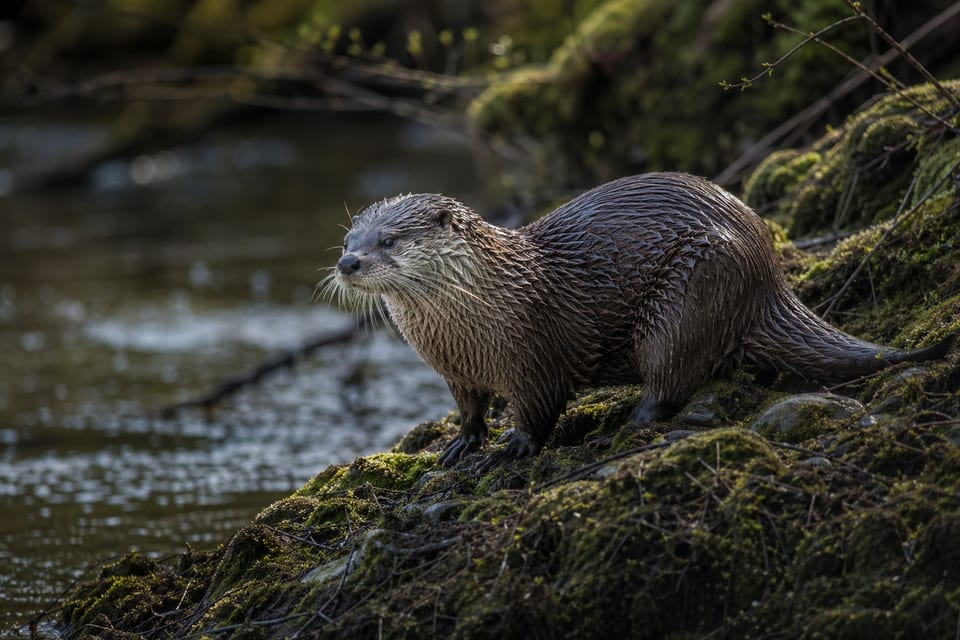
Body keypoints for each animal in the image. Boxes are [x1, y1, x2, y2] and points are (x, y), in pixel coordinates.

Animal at [329, 172, 954, 468]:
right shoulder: (455, 371)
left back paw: (628, 423)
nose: (347, 262)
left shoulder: (532, 354)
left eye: (389, 239)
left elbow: (539, 406)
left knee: (671, 378)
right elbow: (469, 408)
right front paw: (462, 445)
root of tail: (769, 275)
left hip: (692, 292)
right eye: (349, 237)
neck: (476, 321)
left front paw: (516, 445)